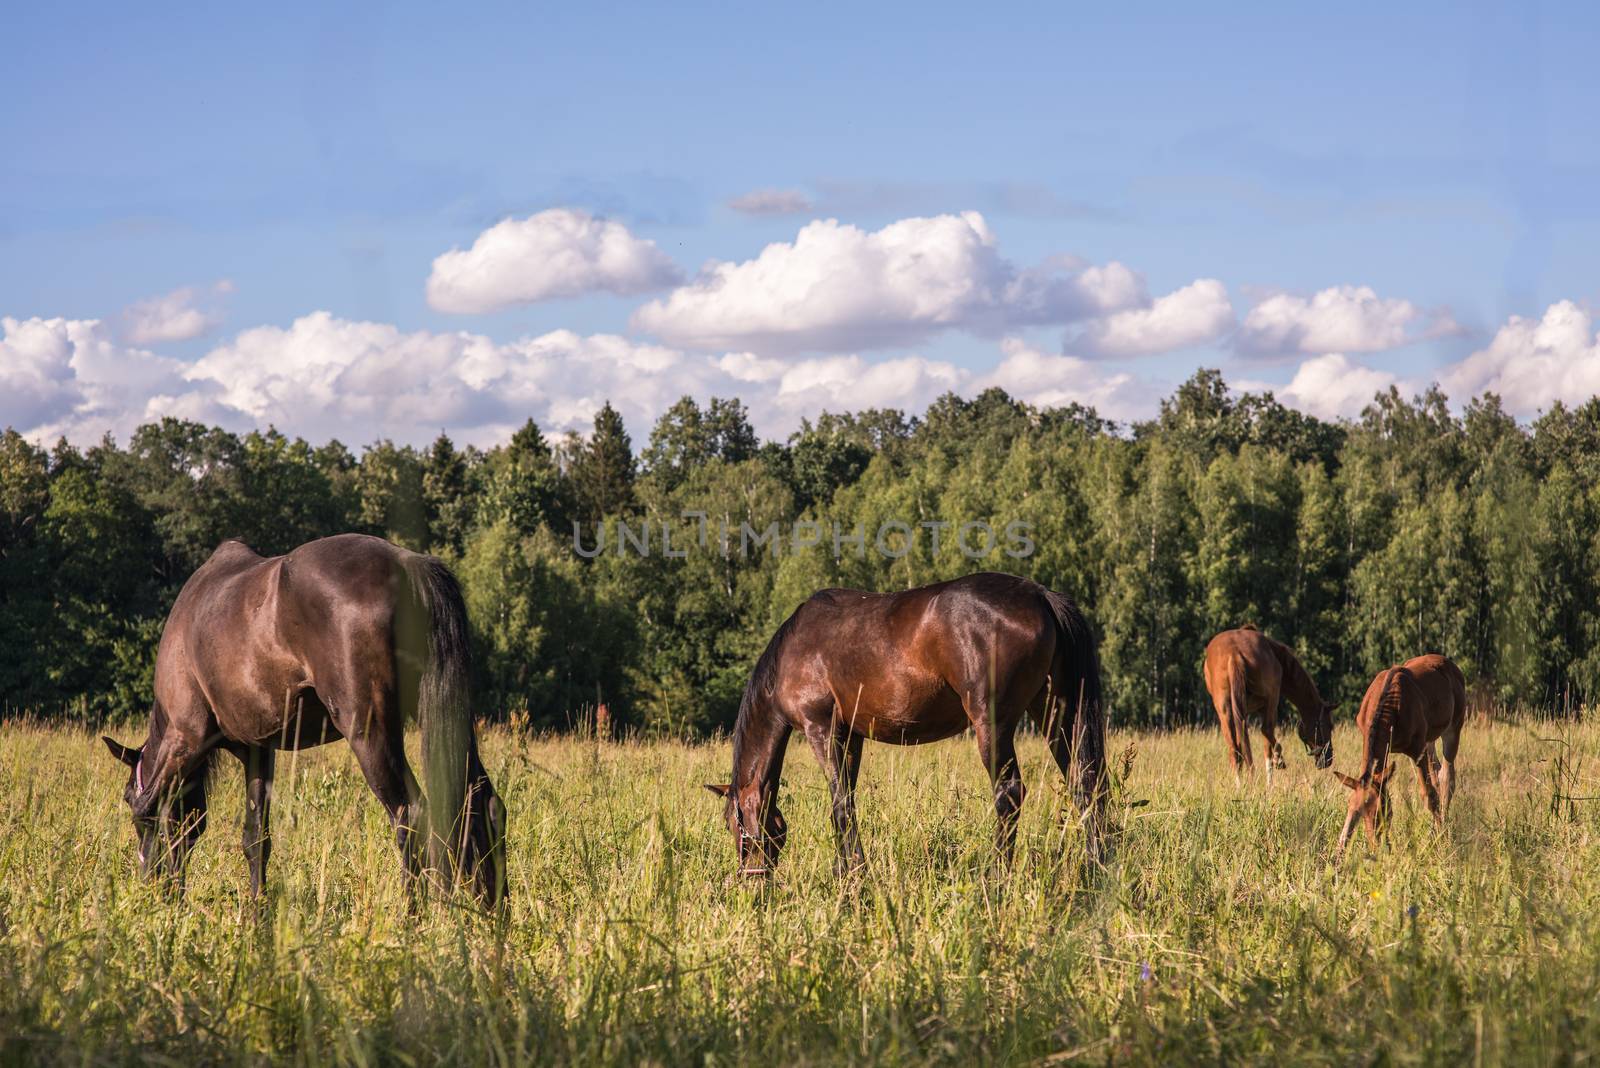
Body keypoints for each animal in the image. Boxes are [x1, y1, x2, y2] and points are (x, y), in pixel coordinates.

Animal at [98, 534, 505, 901]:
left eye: (125, 798)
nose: (152, 886)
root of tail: (408, 563)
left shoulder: (186, 737)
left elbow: (154, 807)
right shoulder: (257, 751)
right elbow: (255, 839)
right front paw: (257, 915)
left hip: (370, 732)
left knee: (410, 814)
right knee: (484, 804)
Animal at [707, 572, 1107, 882]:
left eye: (732, 826)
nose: (749, 881)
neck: (791, 652)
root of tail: (1040, 595)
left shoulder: (820, 728)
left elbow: (839, 803)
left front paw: (856, 874)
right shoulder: (851, 736)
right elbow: (845, 802)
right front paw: (844, 871)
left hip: (993, 724)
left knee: (1009, 794)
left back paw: (995, 876)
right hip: (1055, 713)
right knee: (1085, 783)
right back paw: (1096, 868)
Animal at [1203, 626, 1331, 783]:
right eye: (1329, 726)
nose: (1328, 759)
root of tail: (1234, 654)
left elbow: (1243, 745)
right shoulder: (1266, 707)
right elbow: (1266, 746)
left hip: (1224, 711)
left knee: (1234, 750)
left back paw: (1240, 784)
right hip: (1271, 701)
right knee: (1266, 731)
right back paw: (1277, 759)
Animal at [1331, 652, 1465, 856]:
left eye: (1381, 810)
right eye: (1357, 811)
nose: (1375, 844)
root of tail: (1453, 667)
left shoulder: (1417, 748)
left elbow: (1429, 796)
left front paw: (1440, 838)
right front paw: (1338, 853)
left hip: (1453, 728)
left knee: (1447, 777)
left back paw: (1443, 827)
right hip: (1430, 740)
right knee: (1437, 771)